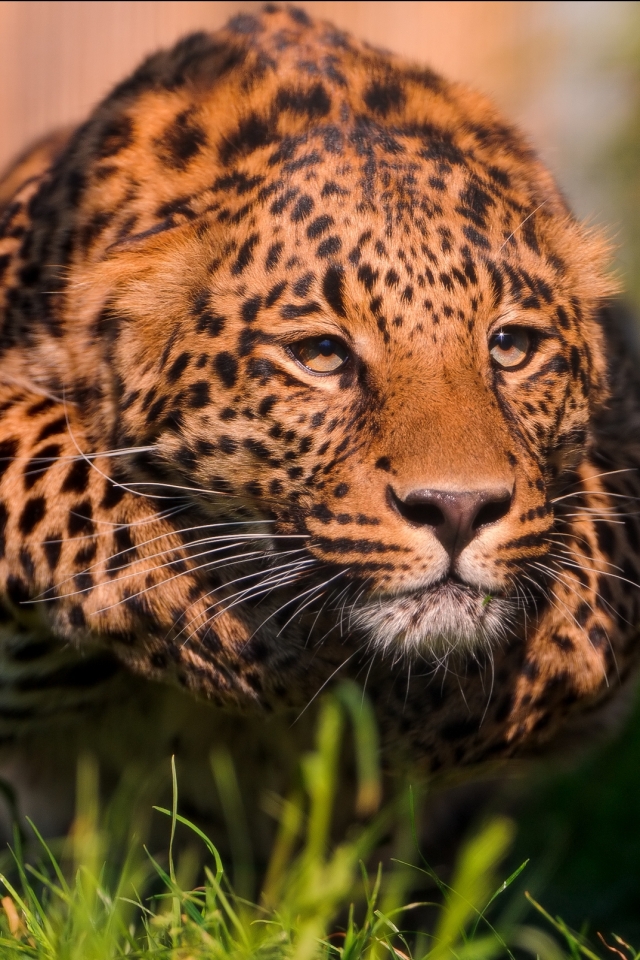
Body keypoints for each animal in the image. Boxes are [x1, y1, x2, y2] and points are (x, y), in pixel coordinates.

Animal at [0, 3, 640, 836]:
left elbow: (595, 596)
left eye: (511, 346)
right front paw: (244, 636)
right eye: (321, 355)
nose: (458, 509)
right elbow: (52, 464)